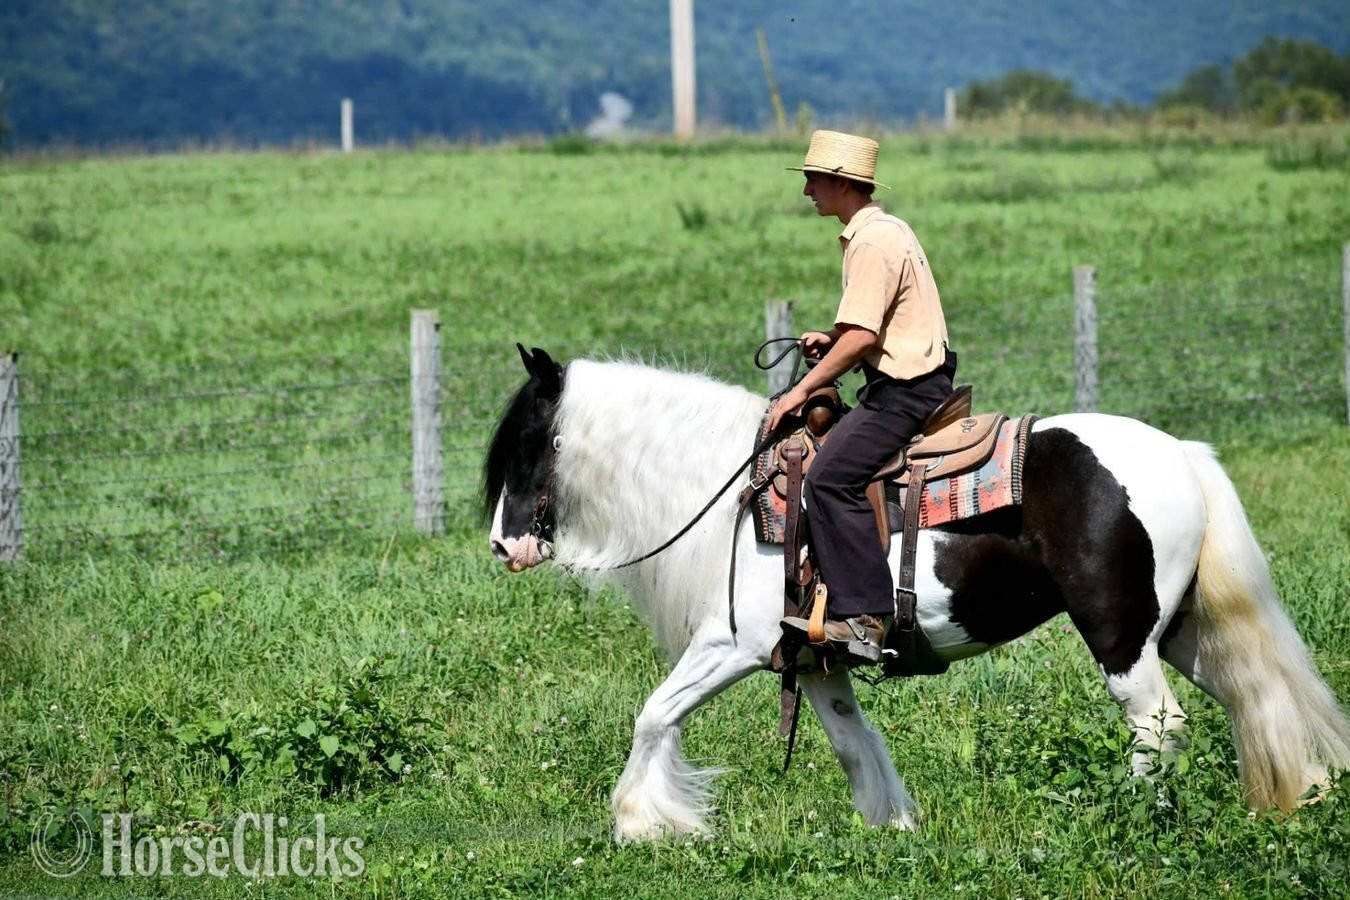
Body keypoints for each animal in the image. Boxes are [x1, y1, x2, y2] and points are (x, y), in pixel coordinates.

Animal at [483, 345, 1350, 843]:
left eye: (528, 440)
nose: (503, 544)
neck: (735, 495)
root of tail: (1181, 453)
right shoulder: (817, 660)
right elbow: (853, 743)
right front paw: (893, 827)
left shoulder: (732, 644)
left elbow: (654, 713)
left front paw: (644, 823)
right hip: (1183, 629)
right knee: (1253, 695)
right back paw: (1295, 793)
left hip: (1120, 632)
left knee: (1159, 724)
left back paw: (1129, 818)